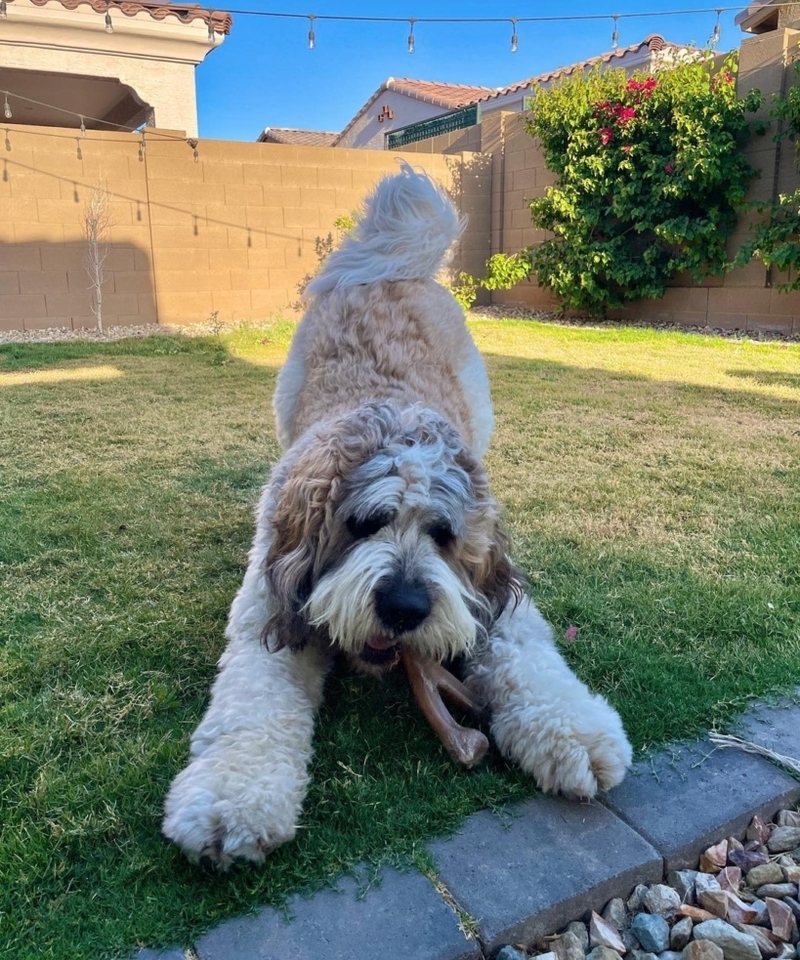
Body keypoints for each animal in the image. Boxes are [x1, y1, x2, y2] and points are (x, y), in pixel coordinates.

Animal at [164, 161, 632, 868]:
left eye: (444, 534)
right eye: (363, 523)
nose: (406, 608)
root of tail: (388, 267)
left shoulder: (495, 599)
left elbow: (530, 660)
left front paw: (576, 734)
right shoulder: (268, 609)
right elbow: (254, 701)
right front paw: (230, 801)